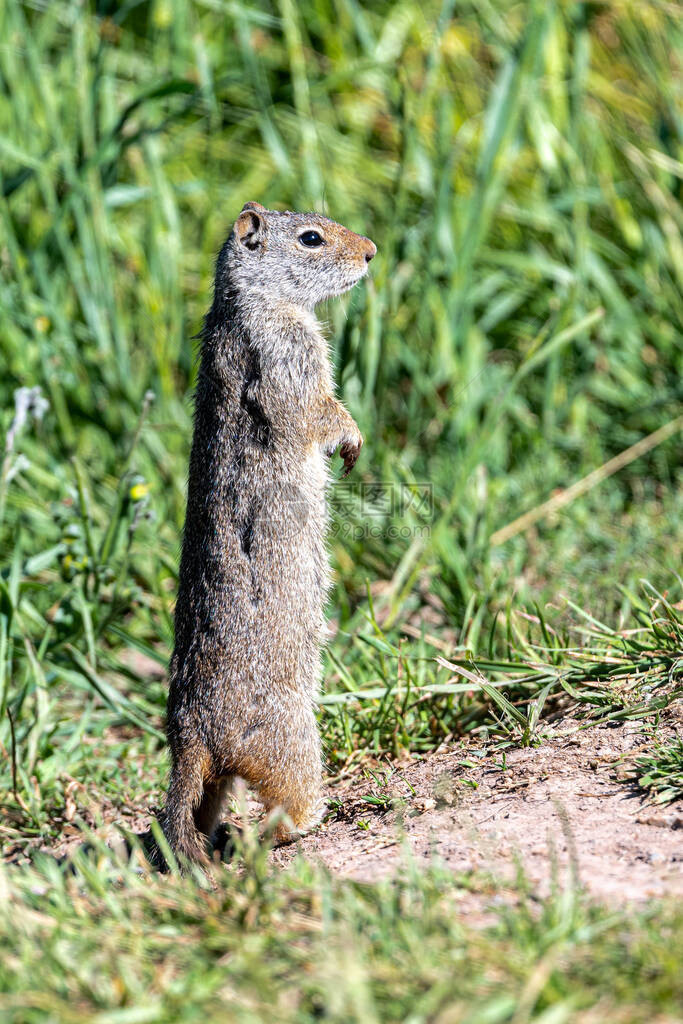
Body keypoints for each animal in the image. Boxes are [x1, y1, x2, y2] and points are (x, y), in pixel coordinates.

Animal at [157, 199, 376, 864]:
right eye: (310, 238)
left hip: (218, 777)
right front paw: (353, 439)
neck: (251, 303)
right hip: (293, 739)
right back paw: (299, 822)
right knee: (285, 803)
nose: (372, 252)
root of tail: (191, 734)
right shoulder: (290, 351)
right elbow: (319, 408)